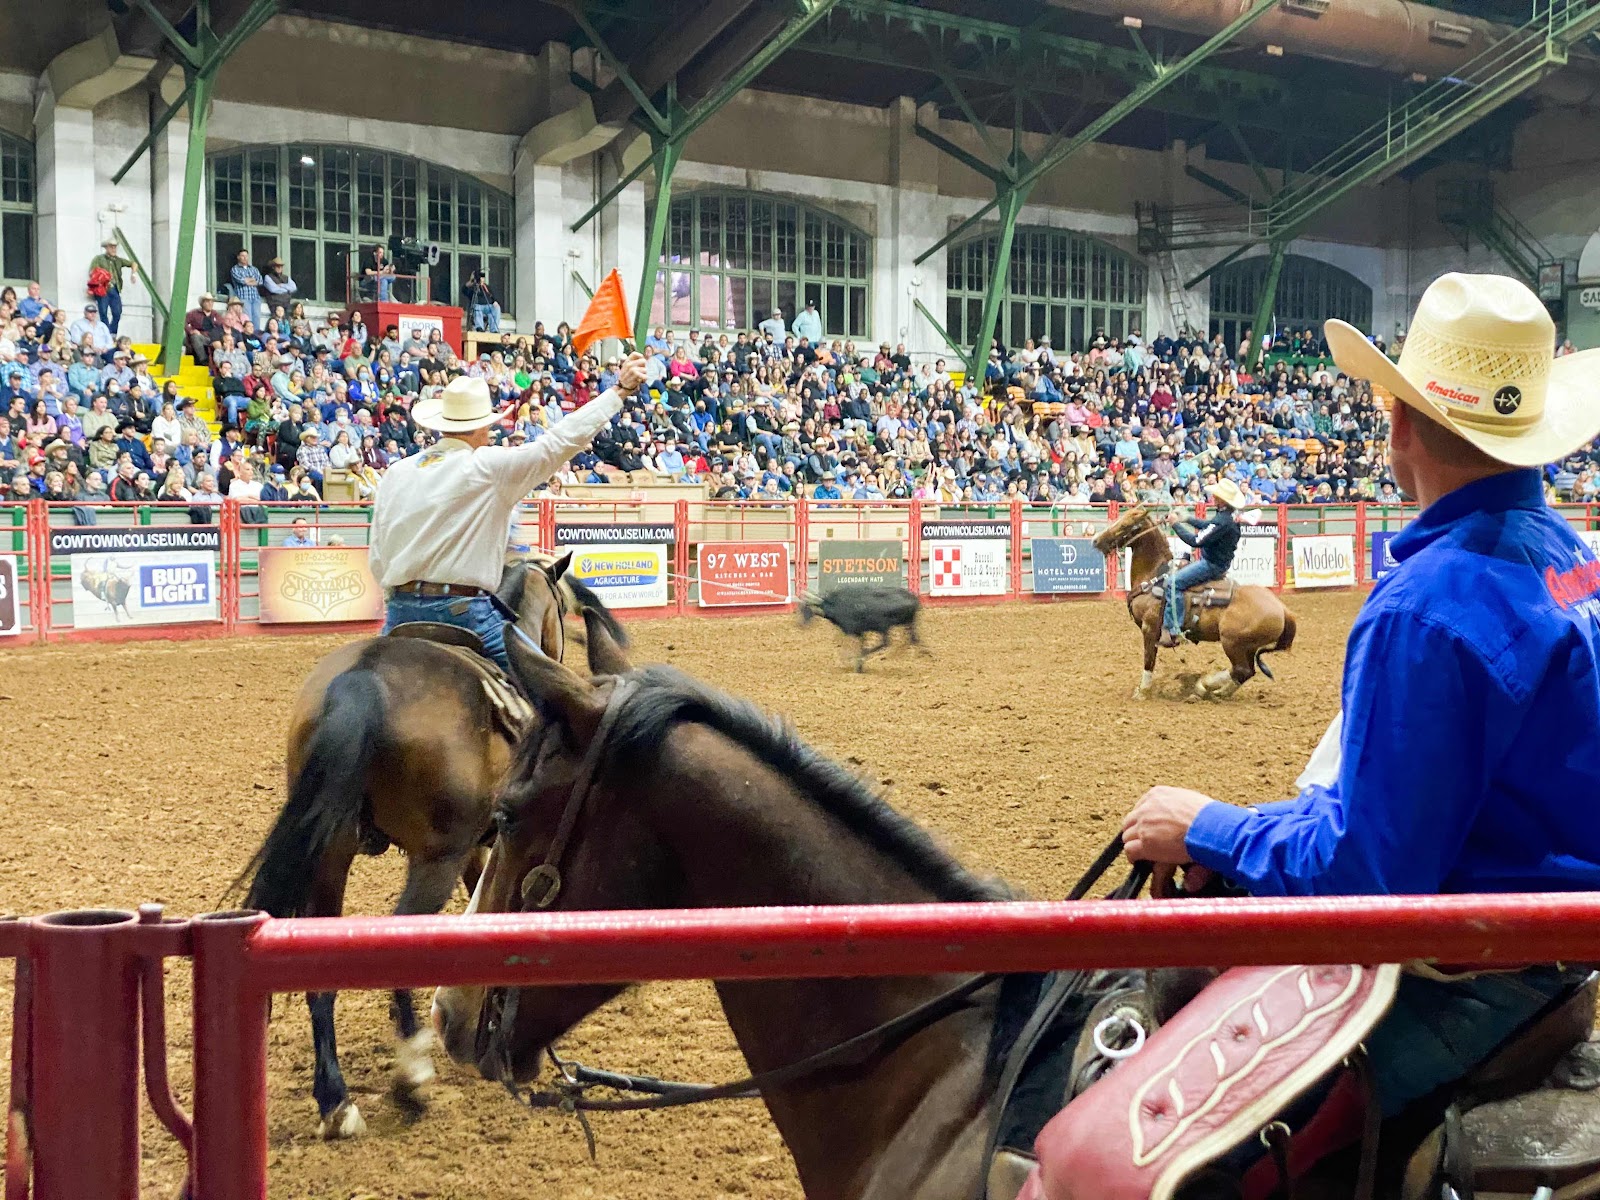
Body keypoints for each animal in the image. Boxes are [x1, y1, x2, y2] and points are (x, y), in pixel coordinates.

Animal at [232, 550, 629, 1139]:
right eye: (563, 612)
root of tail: (363, 678)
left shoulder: (483, 851)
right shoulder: (473, 848)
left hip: (332, 852)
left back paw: (336, 1102)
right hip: (432, 858)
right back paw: (412, 1073)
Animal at [1092, 504, 1295, 701]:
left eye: (1127, 524)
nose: (1096, 540)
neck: (1155, 575)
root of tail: (1283, 610)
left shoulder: (1149, 629)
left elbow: (1149, 660)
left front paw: (1142, 692)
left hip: (1232, 643)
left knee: (1241, 670)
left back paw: (1203, 686)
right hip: (1247, 647)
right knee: (1245, 672)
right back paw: (1216, 691)